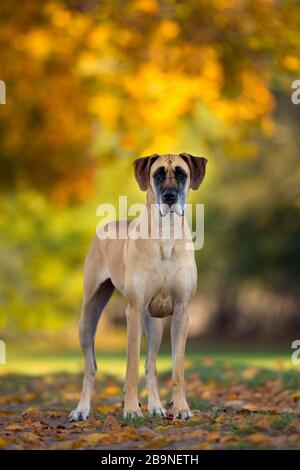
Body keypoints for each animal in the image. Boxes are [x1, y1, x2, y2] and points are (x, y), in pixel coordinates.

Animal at [69, 152, 207, 420]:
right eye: (158, 174)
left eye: (182, 174)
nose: (169, 197)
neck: (166, 234)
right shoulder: (133, 310)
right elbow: (131, 365)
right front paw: (132, 409)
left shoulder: (183, 310)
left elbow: (177, 368)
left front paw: (181, 408)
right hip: (89, 315)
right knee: (90, 366)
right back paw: (82, 409)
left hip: (154, 324)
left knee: (150, 364)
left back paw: (156, 406)